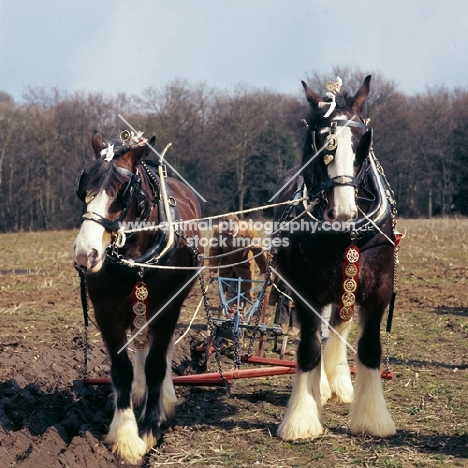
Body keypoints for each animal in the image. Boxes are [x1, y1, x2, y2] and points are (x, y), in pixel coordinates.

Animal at [73, 130, 201, 462]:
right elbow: (122, 369)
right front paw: (125, 434)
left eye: (123, 192)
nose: (84, 255)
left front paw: (150, 428)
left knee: (162, 351)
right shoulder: (106, 311)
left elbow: (156, 364)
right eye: (84, 190)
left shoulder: (167, 308)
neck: (137, 258)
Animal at [272, 76, 396, 438]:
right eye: (322, 144)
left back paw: (337, 382)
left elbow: (369, 348)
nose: (342, 213)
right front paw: (302, 419)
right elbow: (309, 347)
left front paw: (372, 418)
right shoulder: (303, 290)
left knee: (339, 327)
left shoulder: (379, 287)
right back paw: (323, 388)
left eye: (361, 142)